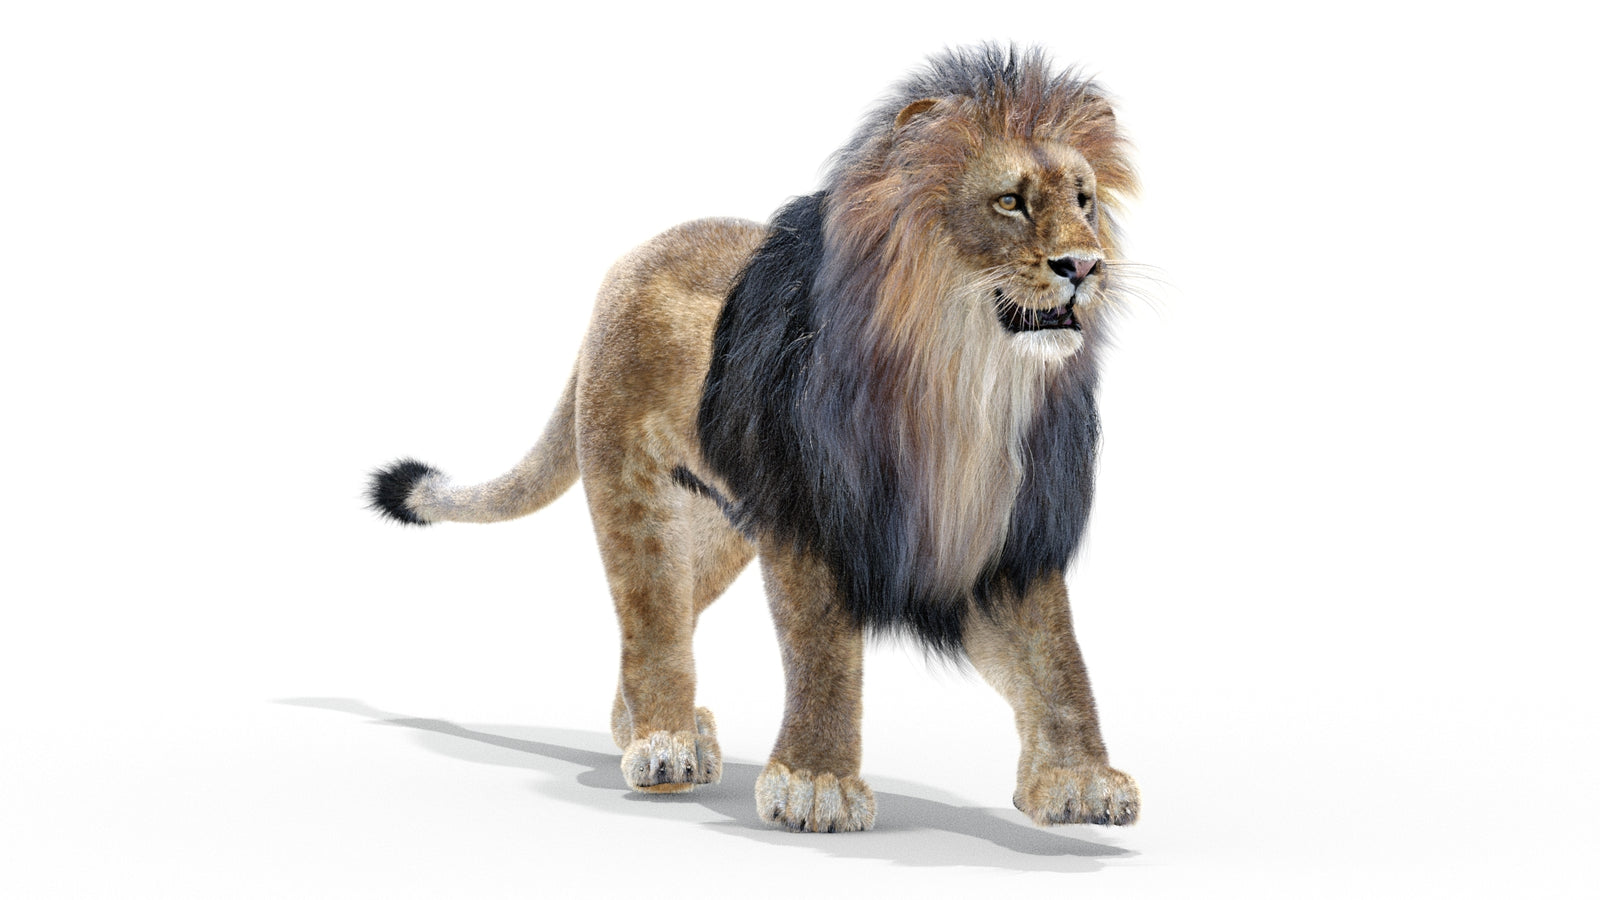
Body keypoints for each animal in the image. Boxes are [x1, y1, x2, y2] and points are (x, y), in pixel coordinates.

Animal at [368, 44, 1142, 833]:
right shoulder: (813, 518)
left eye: (1083, 201)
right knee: (652, 618)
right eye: (1011, 202)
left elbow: (1056, 659)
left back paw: (645, 728)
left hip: (724, 522)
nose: (1084, 265)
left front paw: (1081, 779)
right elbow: (824, 654)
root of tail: (631, 260)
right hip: (633, 493)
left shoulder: (1005, 532)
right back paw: (664, 743)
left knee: (676, 608)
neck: (968, 382)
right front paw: (816, 783)